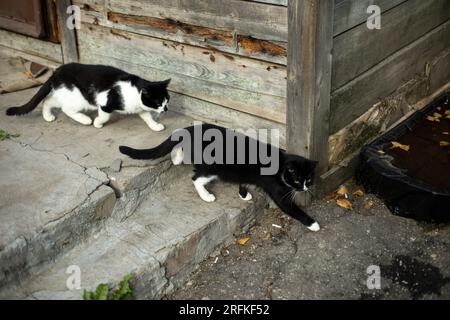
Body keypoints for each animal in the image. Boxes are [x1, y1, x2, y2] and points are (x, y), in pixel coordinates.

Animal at [5, 63, 171, 131]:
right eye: (158, 102)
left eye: (167, 100)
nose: (166, 110)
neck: (135, 92)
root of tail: (56, 72)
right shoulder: (105, 103)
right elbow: (104, 116)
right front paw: (98, 123)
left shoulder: (140, 108)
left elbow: (147, 116)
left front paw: (155, 126)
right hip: (79, 98)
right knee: (66, 108)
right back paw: (85, 120)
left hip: (66, 93)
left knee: (48, 100)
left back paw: (48, 116)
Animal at [119, 124, 322, 231]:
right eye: (298, 180)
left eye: (309, 180)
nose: (305, 188)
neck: (280, 165)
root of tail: (193, 128)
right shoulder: (278, 192)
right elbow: (291, 208)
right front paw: (312, 223)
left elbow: (243, 180)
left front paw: (243, 194)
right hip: (212, 167)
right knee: (196, 178)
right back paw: (206, 196)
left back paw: (176, 157)